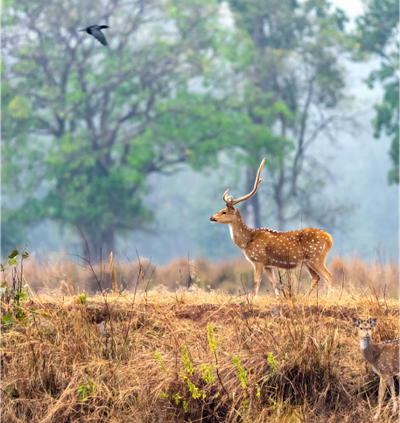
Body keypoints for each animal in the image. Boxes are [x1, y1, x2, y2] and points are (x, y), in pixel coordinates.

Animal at [211, 158, 332, 298]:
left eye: (224, 212)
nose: (211, 217)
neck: (247, 241)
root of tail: (330, 239)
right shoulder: (268, 264)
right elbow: (273, 282)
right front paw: (278, 297)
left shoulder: (259, 259)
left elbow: (257, 281)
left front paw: (254, 298)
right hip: (308, 261)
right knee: (316, 277)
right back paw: (304, 297)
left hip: (316, 257)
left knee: (328, 275)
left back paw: (326, 297)